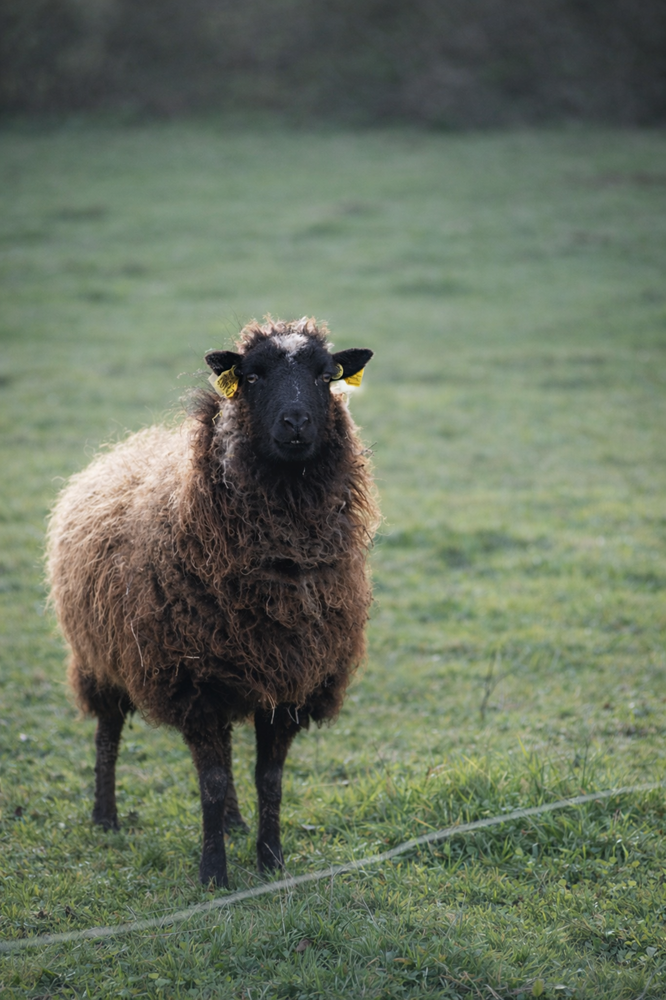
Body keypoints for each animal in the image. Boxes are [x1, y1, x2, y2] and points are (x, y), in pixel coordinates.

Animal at [46, 317, 379, 887]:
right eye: (252, 376)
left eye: (325, 374)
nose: (295, 422)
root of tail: (124, 447)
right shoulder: (194, 684)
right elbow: (212, 782)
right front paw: (213, 875)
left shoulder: (287, 682)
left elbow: (267, 779)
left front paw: (271, 861)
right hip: (100, 657)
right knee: (108, 732)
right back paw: (105, 817)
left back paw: (235, 823)